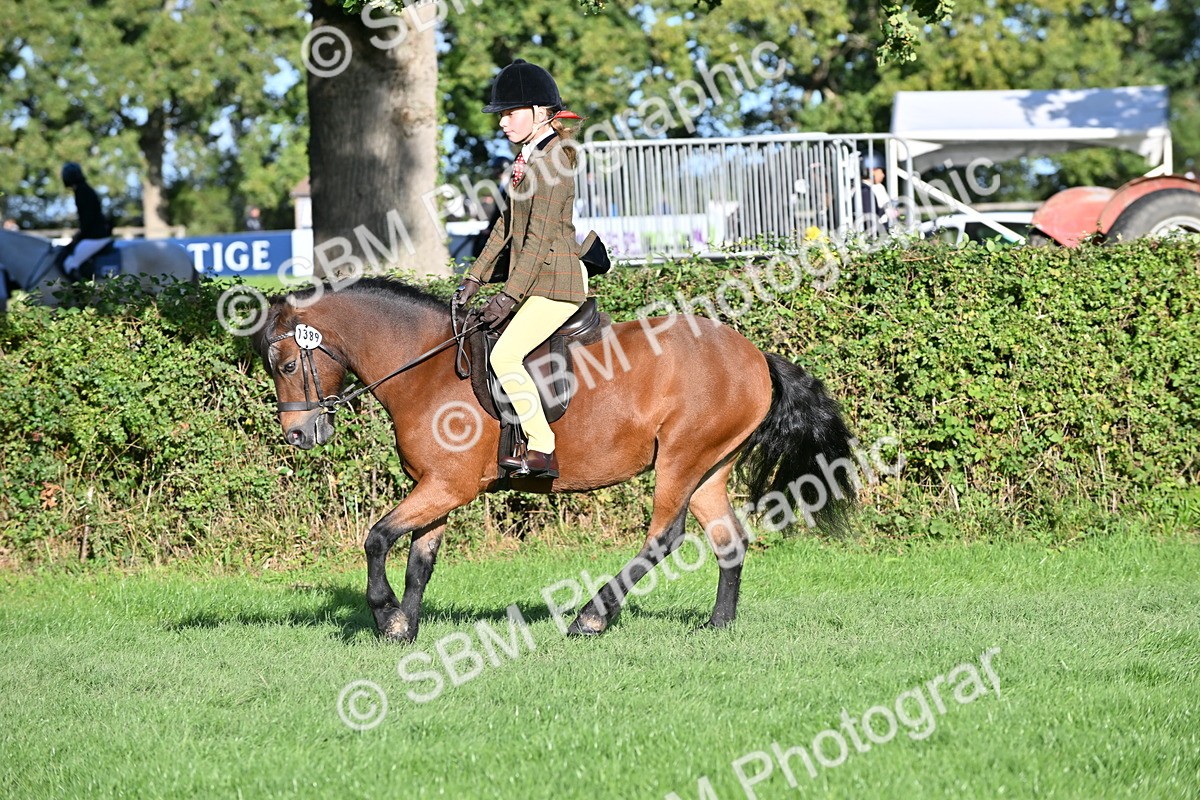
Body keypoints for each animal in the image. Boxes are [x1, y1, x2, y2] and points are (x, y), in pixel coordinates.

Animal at [252, 278, 857, 642]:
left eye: (286, 365)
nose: (298, 435)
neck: (426, 368)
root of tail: (753, 356)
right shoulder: (438, 487)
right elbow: (420, 561)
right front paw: (408, 625)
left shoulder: (449, 486)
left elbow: (377, 538)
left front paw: (386, 617)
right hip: (710, 467)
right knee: (729, 539)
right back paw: (718, 625)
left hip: (681, 461)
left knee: (664, 537)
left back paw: (592, 616)